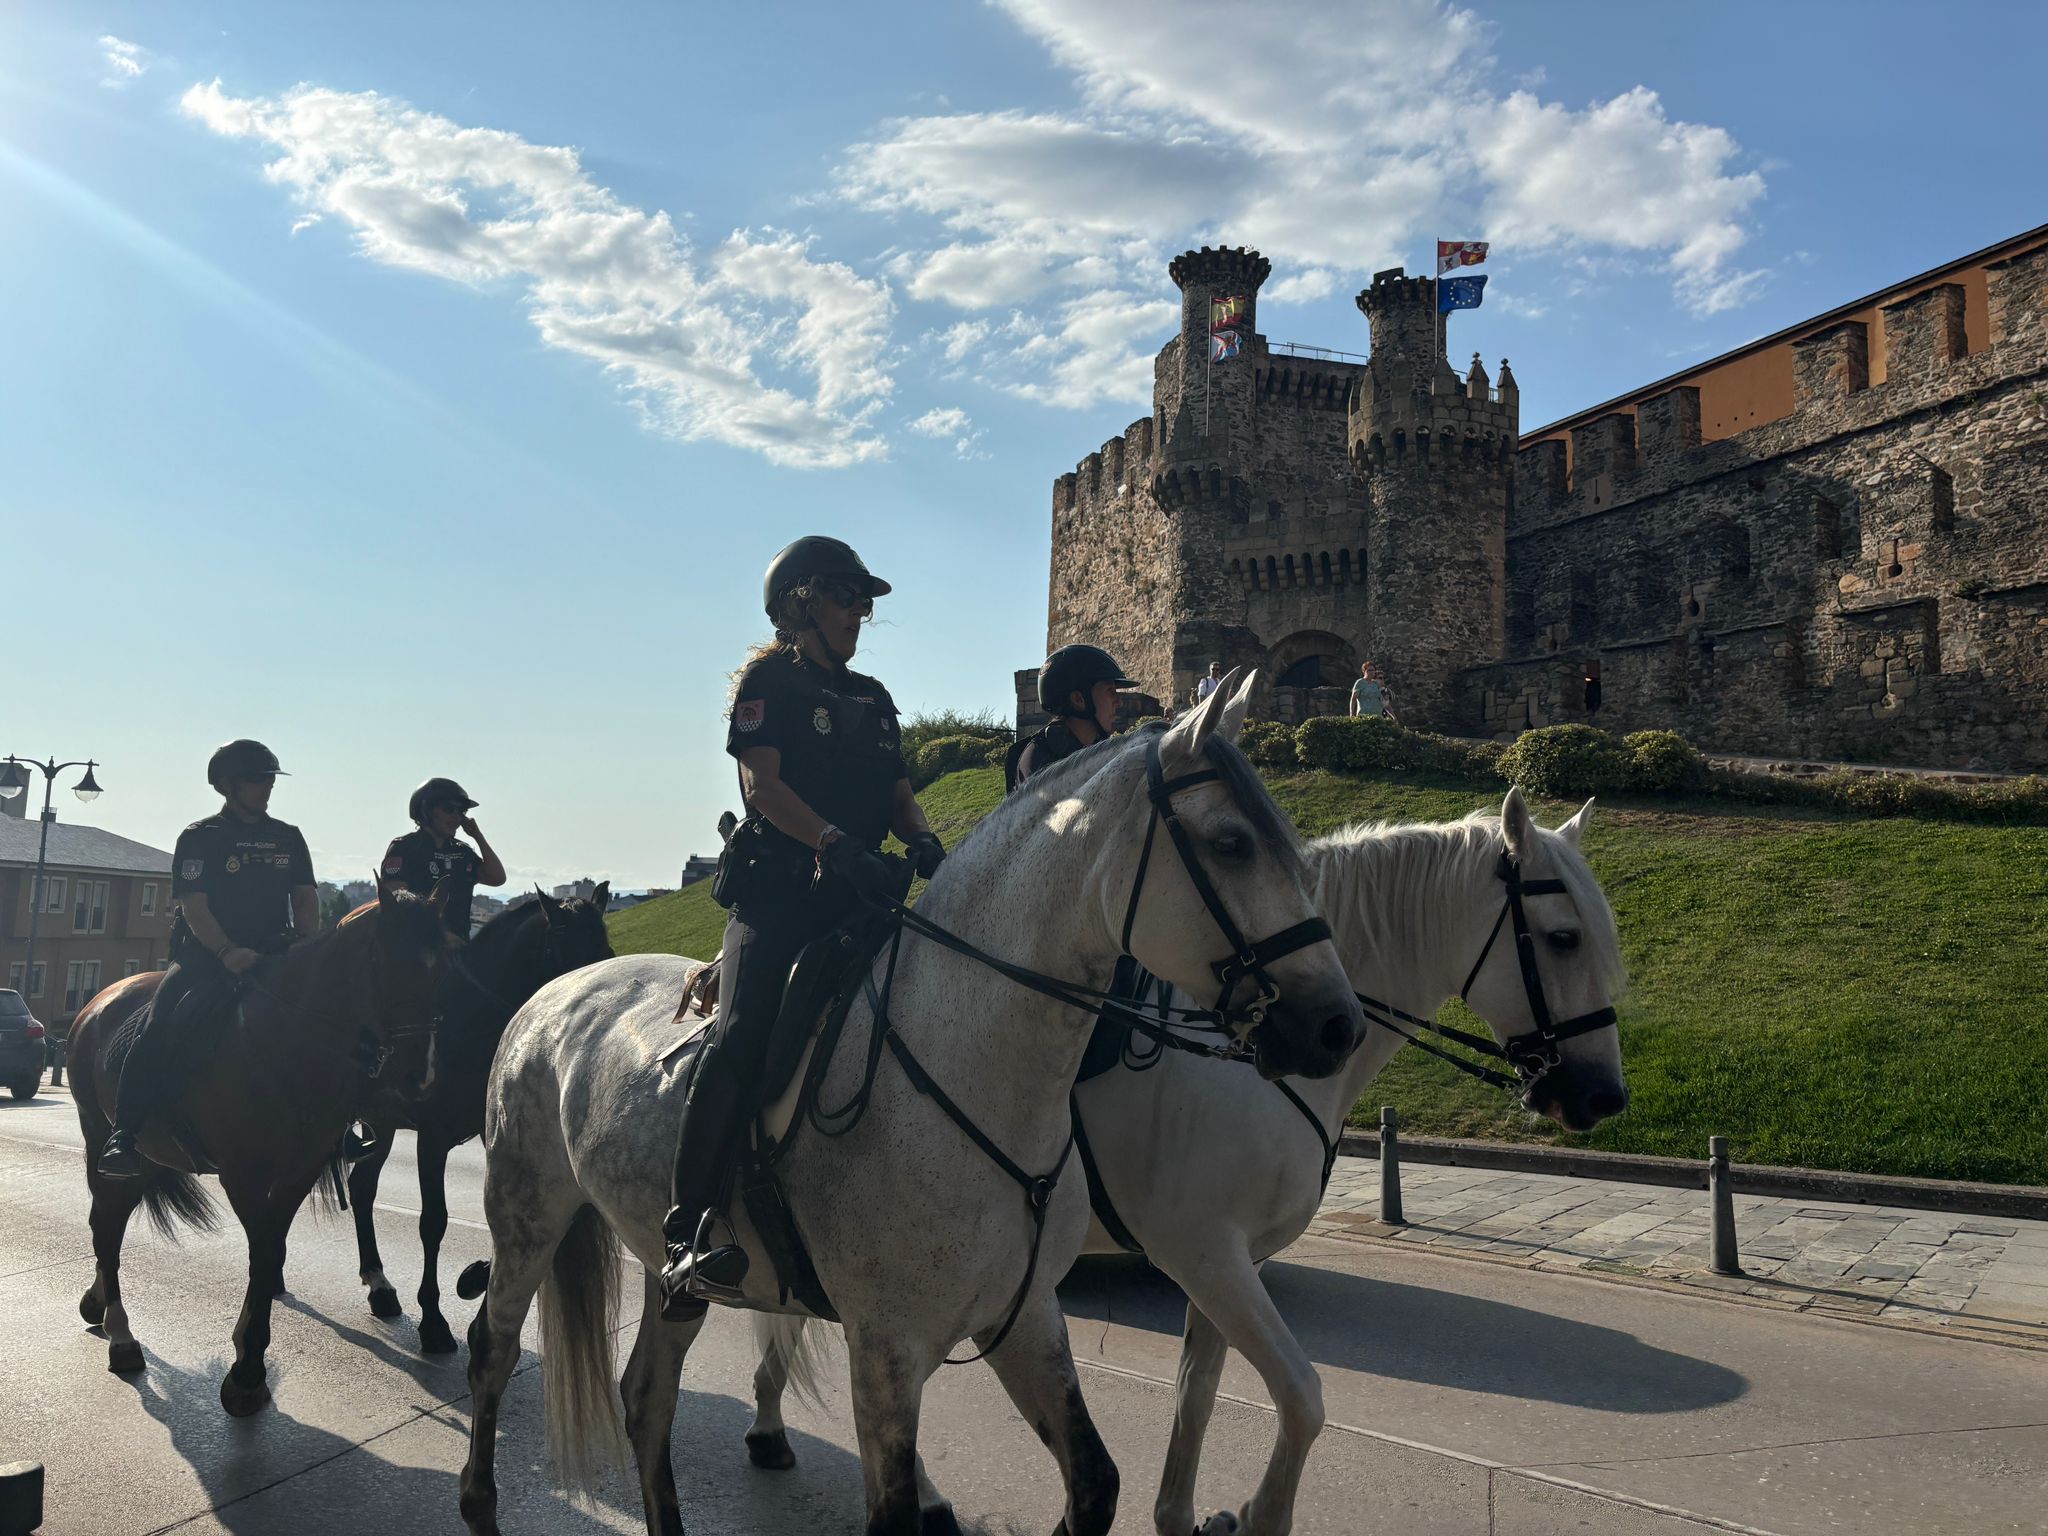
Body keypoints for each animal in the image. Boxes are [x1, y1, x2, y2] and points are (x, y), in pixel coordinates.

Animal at [71, 876, 460, 1417]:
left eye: (443, 965)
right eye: (382, 959)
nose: (416, 1076)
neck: (286, 1042)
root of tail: (99, 999)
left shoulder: (300, 1169)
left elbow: (272, 1250)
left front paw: (249, 1360)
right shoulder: (244, 1175)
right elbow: (262, 1252)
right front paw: (247, 1369)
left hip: (147, 1158)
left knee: (111, 1221)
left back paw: (98, 1304)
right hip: (99, 1140)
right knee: (105, 1227)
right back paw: (121, 1336)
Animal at [352, 884, 610, 1351]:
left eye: (608, 950)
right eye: (567, 951)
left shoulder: (498, 1140)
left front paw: (474, 1282)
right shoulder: (431, 1138)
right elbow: (433, 1222)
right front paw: (434, 1320)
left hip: (381, 1126)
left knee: (361, 1187)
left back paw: (379, 1285)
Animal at [456, 671, 1368, 1536]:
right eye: (1231, 844)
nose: (1337, 1026)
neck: (974, 1068)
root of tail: (553, 992)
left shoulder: (1024, 1317)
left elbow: (1095, 1483)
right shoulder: (887, 1351)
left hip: (666, 1264)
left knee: (645, 1395)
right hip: (529, 1214)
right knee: (492, 1347)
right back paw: (478, 1500)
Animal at [753, 794, 1630, 1536]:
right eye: (1563, 937)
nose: (1604, 1094)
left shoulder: (1226, 1264)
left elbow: (1196, 1397)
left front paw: (1178, 1515)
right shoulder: (1204, 1254)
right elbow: (1301, 1396)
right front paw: (1259, 1515)